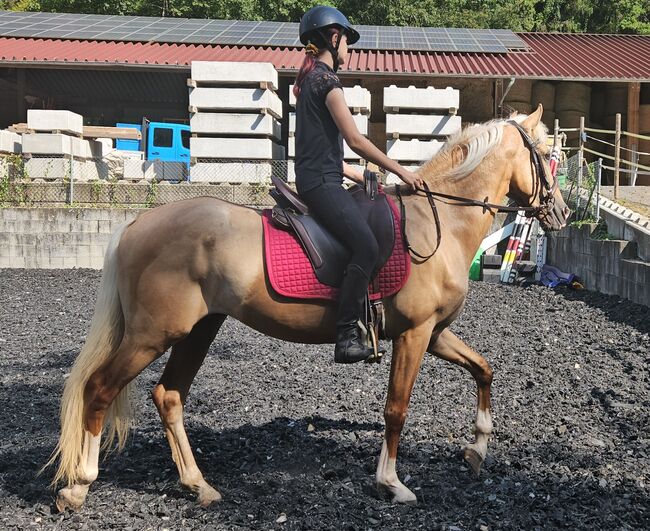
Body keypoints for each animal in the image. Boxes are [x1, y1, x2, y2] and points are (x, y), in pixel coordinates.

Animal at [48, 106, 568, 510]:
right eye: (548, 156)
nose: (561, 214)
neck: (437, 221)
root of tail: (138, 223)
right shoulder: (416, 334)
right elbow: (396, 409)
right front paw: (392, 484)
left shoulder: (434, 333)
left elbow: (484, 369)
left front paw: (477, 450)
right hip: (151, 335)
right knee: (99, 388)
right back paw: (79, 487)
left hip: (197, 331)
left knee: (169, 396)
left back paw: (198, 486)